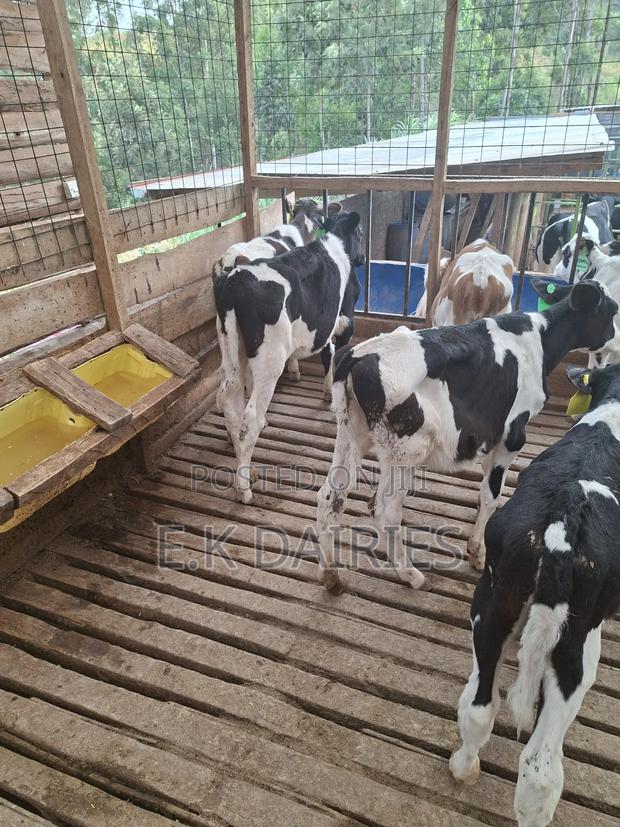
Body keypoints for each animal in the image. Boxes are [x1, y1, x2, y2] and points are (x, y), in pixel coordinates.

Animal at [214, 210, 364, 503]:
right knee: (251, 417)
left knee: (231, 403)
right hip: (270, 360)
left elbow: (327, 355)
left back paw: (246, 469)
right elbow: (335, 357)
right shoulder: (344, 323)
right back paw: (244, 488)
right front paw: (331, 396)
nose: (363, 259)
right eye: (362, 231)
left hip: (230, 350)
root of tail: (235, 280)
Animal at [316, 280, 617, 592]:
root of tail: (357, 355)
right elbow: (491, 493)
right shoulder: (511, 437)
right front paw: (477, 550)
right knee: (383, 510)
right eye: (612, 310)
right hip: (407, 449)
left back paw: (331, 576)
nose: (614, 337)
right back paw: (412, 575)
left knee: (330, 497)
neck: (539, 342)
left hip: (351, 432)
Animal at [450, 361, 620, 826]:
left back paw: (463, 767)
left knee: (480, 709)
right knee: (541, 770)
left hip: (493, 604)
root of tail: (563, 520)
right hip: (577, 649)